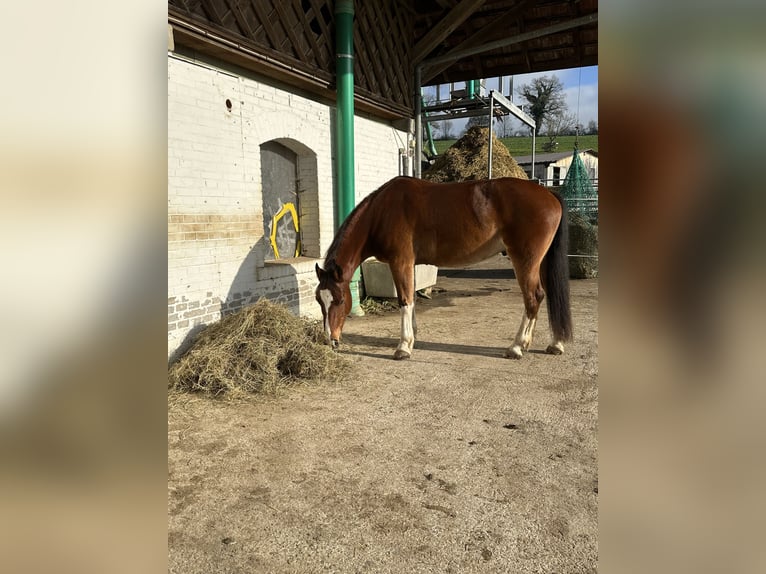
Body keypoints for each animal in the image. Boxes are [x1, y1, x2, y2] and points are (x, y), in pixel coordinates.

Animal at [316, 178, 572, 362]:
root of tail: (548, 194)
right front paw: (412, 337)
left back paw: (517, 347)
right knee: (548, 295)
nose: (331, 340)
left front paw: (403, 347)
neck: (381, 212)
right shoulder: (410, 264)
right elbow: (412, 298)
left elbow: (404, 301)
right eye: (320, 301)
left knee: (533, 297)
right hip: (541, 263)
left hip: (525, 261)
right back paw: (554, 344)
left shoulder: (400, 261)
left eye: (340, 300)